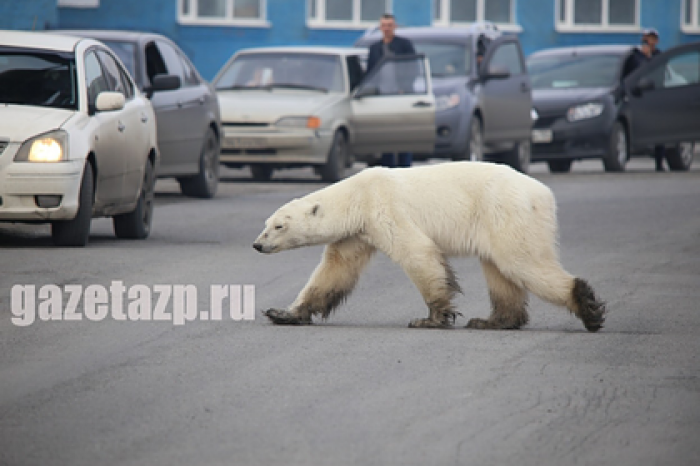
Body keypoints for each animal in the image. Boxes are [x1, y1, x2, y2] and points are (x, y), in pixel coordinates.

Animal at [253, 163, 608, 332]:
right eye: (266, 223)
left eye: (279, 226)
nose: (257, 244)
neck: (357, 196)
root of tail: (543, 193)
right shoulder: (357, 233)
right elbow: (335, 270)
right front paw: (283, 313)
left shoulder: (385, 209)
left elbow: (418, 253)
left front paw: (431, 318)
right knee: (499, 270)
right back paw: (492, 320)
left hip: (506, 212)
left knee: (522, 262)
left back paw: (588, 308)